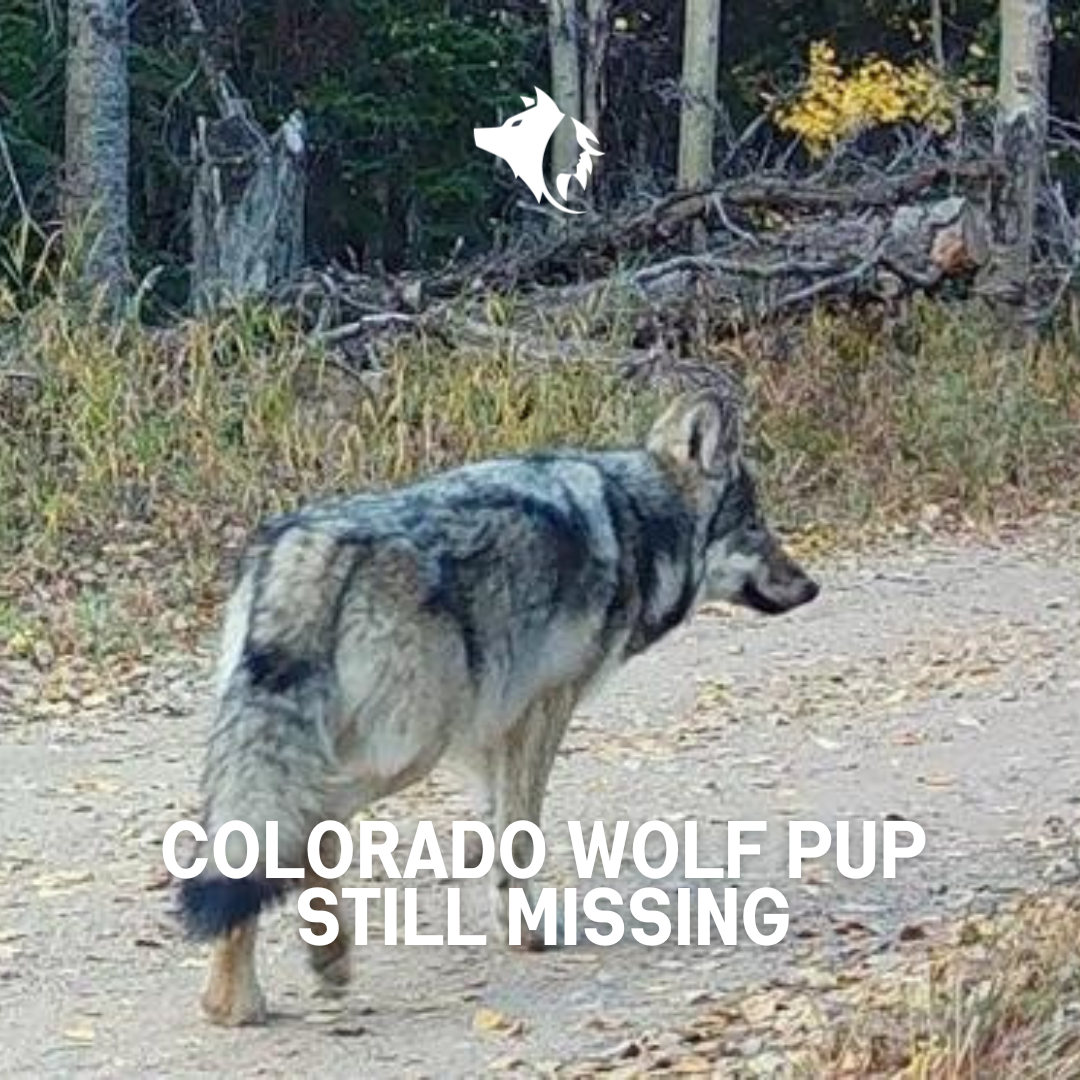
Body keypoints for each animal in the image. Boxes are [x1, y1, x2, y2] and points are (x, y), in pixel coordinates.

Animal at [178, 388, 819, 1026]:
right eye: (756, 527)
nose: (812, 587)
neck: (637, 521)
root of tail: (306, 548)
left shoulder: (487, 734)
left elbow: (499, 833)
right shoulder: (542, 709)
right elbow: (521, 834)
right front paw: (531, 935)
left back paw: (230, 999)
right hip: (408, 751)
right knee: (310, 829)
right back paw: (309, 966)